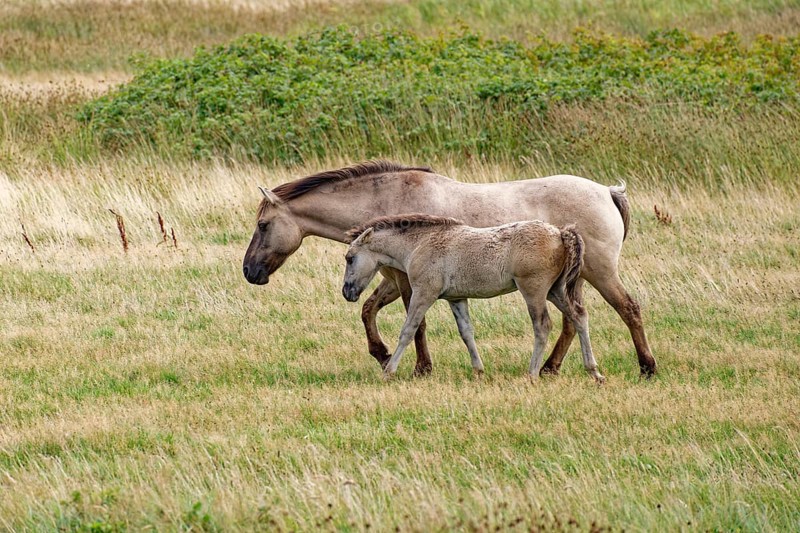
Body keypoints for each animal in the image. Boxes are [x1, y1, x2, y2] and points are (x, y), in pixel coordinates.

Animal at [341, 215, 605, 382]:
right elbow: (466, 332)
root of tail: (560, 233)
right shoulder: (457, 299)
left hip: (534, 290)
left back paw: (531, 374)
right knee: (579, 316)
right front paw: (478, 371)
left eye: (350, 258)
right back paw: (594, 372)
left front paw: (388, 371)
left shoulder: (424, 293)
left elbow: (408, 330)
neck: (420, 243)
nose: (347, 292)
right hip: (555, 291)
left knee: (543, 325)